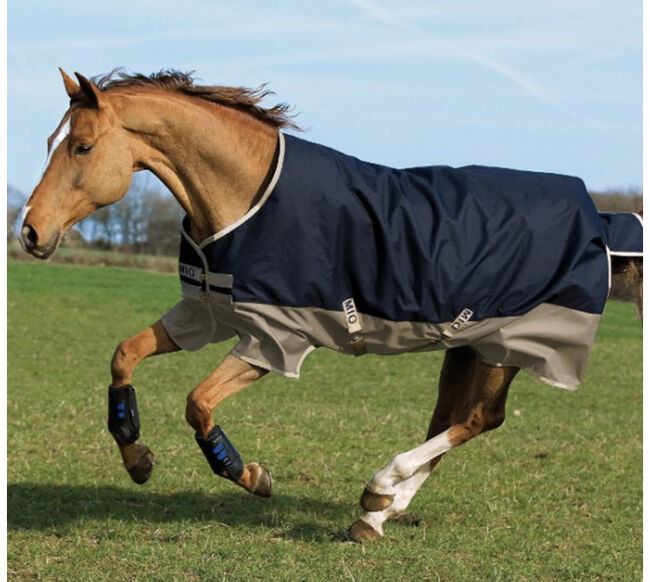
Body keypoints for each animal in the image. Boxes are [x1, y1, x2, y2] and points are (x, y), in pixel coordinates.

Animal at [17, 70, 640, 544]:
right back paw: (376, 514)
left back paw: (380, 488)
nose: (30, 233)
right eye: (50, 142)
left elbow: (198, 404)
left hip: (505, 346)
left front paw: (249, 474)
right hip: (467, 345)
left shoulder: (275, 339)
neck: (245, 195)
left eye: (82, 146)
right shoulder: (206, 314)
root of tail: (596, 217)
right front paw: (137, 458)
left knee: (477, 419)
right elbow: (124, 356)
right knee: (455, 419)